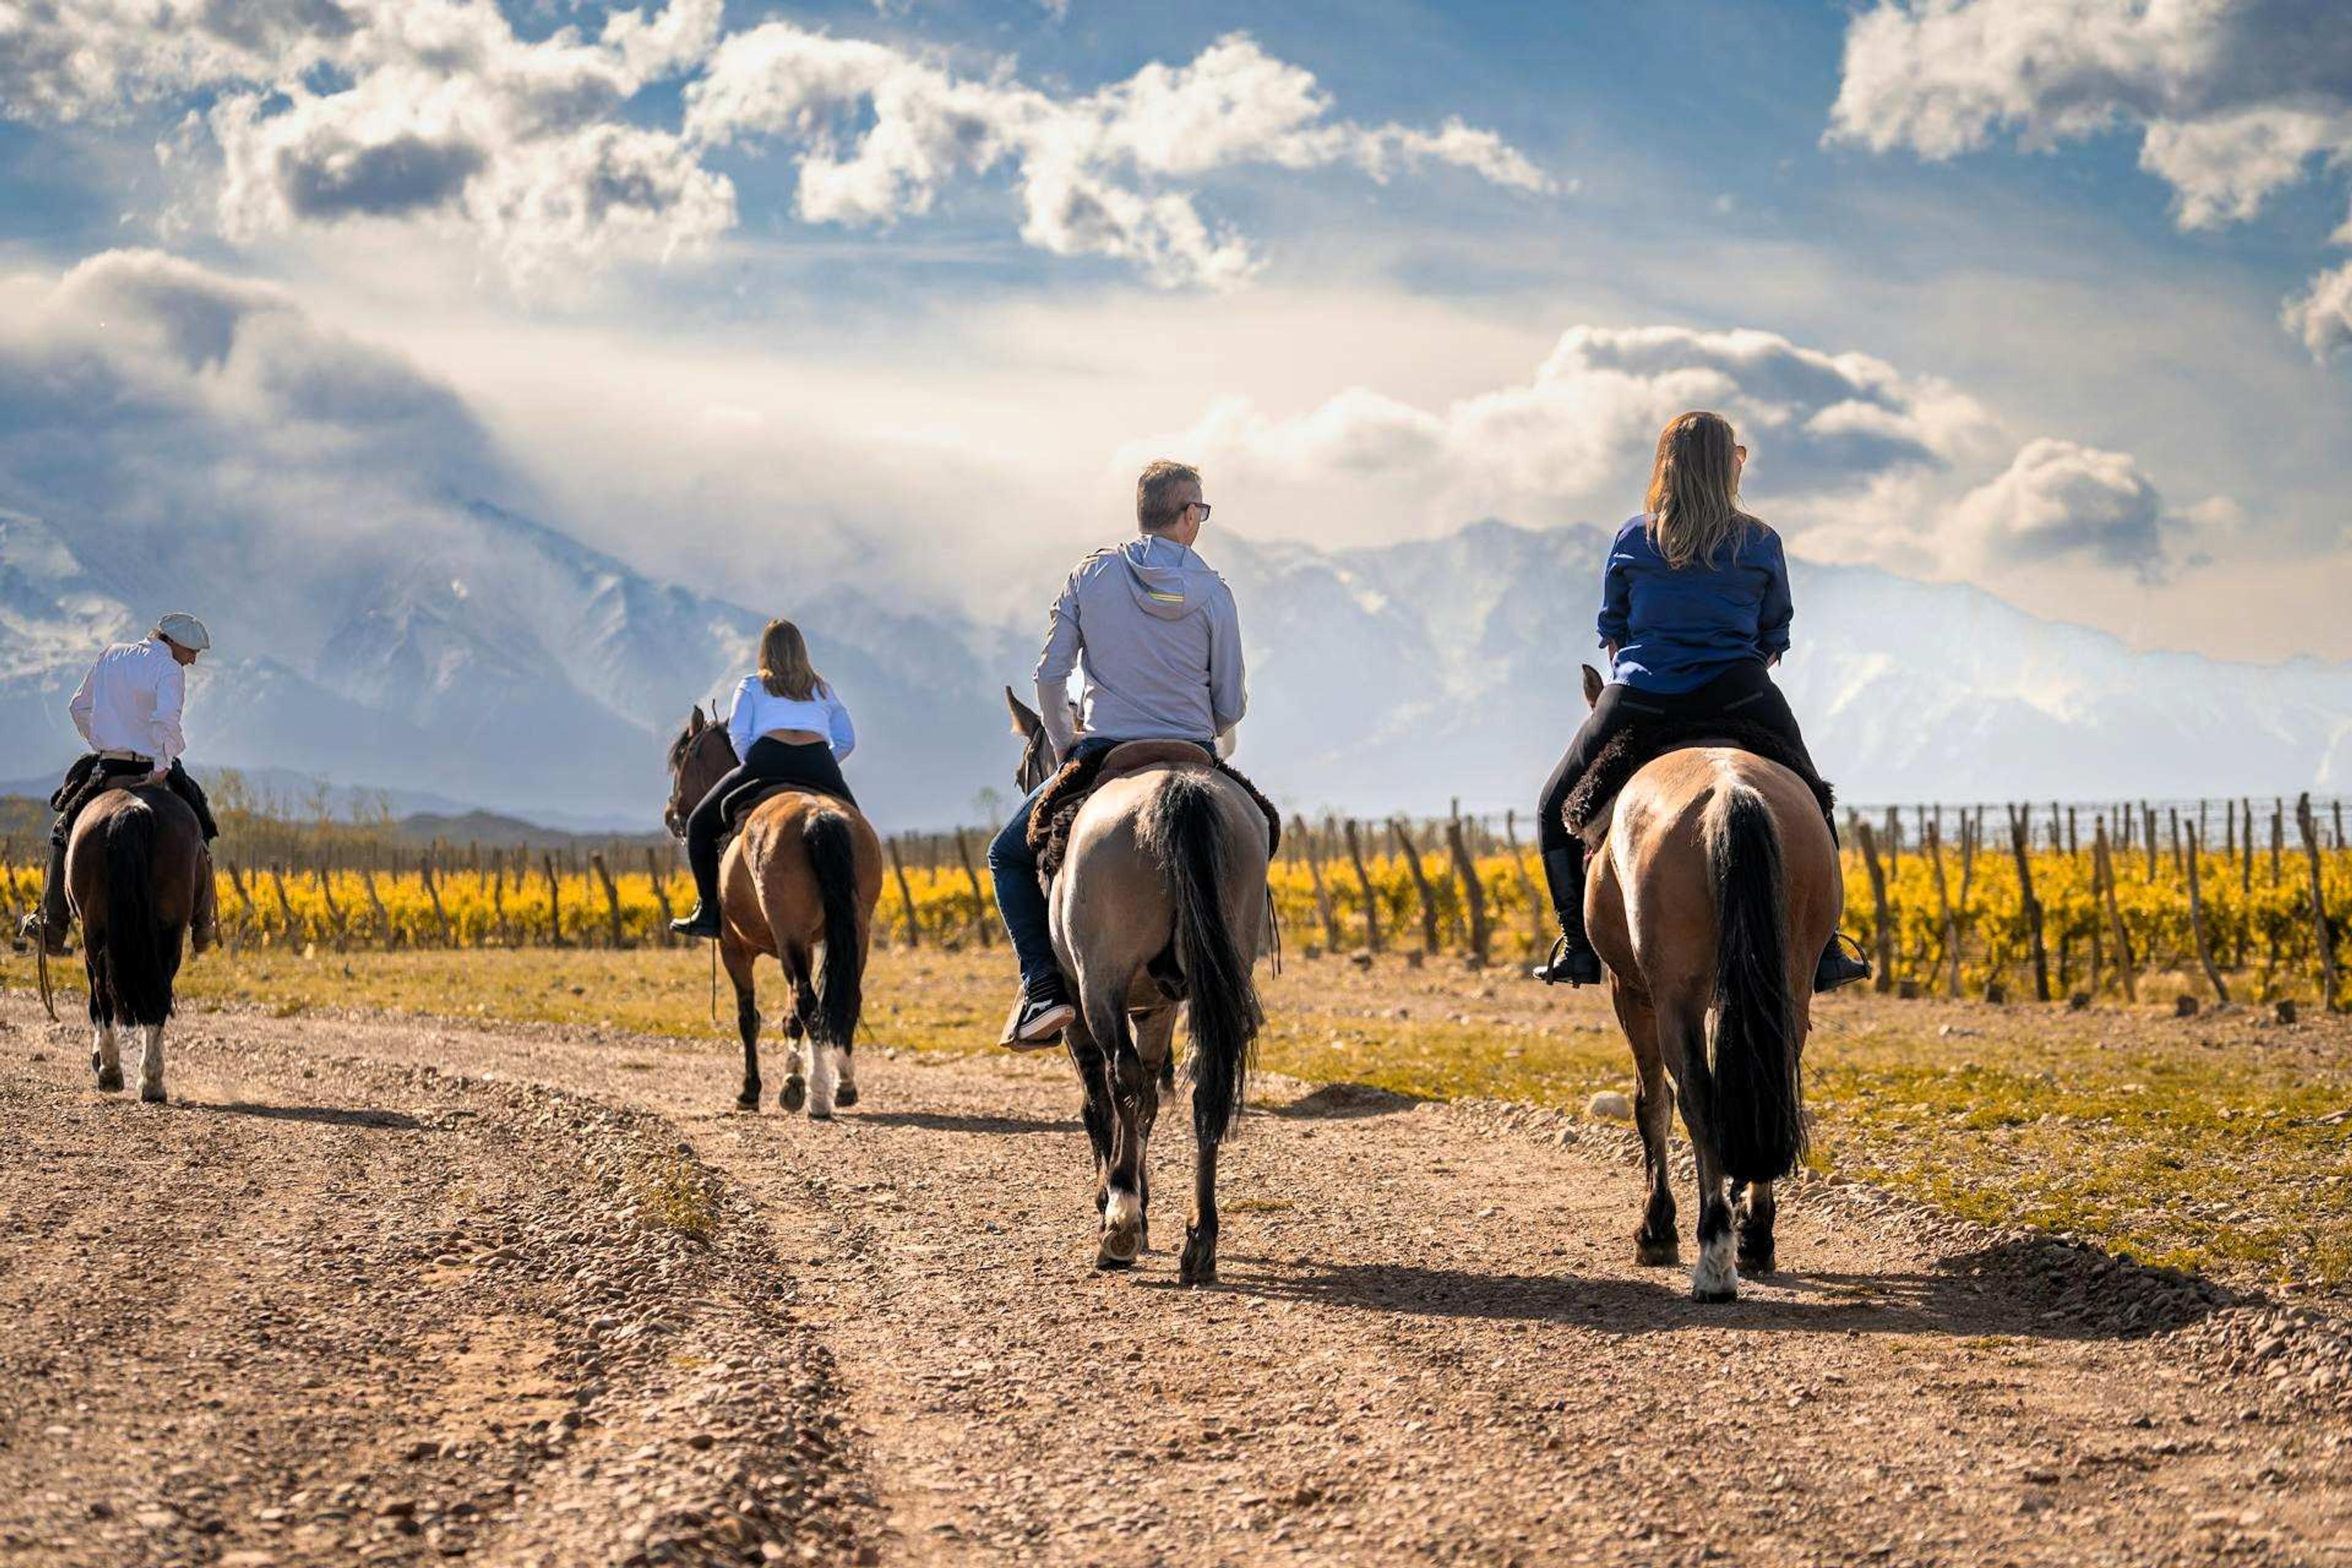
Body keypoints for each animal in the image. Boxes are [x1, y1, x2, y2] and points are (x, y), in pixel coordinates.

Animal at [72, 785, 210, 1104]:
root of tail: (133, 809)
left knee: (106, 994)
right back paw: (146, 1080)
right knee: (154, 994)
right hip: (166, 935)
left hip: (96, 933)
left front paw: (99, 1058)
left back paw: (120, 1074)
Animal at [668, 705, 884, 1123]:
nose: (672, 815)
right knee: (843, 998)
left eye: (681, 758)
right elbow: (792, 1019)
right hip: (852, 931)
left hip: (788, 936)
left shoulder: (736, 949)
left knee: (807, 1001)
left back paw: (818, 1097)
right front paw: (792, 1079)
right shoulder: (809, 945)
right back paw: (843, 1085)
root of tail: (817, 816)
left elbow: (749, 1017)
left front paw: (752, 1091)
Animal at [1006, 700, 1270, 1288]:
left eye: (1022, 770)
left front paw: (1117, 1201)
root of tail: (1178, 788)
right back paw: (1200, 1241)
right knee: (1204, 1089)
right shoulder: (1158, 1006)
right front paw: (1143, 1207)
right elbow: (1150, 1098)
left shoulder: (1081, 1005)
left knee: (1120, 1082)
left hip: (1100, 983)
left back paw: (1120, 1225)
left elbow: (1100, 1103)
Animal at [1571, 668, 1844, 1306]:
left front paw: (1656, 1230)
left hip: (1672, 994)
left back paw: (1714, 1257)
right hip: (1788, 980)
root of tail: (1731, 792)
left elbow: (1652, 1103)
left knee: (1695, 1093)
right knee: (1772, 1081)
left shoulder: (1630, 991)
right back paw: (1755, 1238)